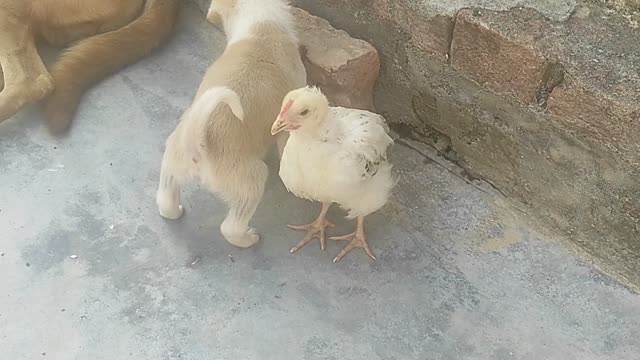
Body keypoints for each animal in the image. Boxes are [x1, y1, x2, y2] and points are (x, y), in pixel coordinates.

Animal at [154, 0, 304, 248]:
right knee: (230, 228)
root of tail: (198, 144)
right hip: (252, 181)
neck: (259, 24)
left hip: (172, 164)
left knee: (166, 200)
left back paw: (174, 209)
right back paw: (248, 238)